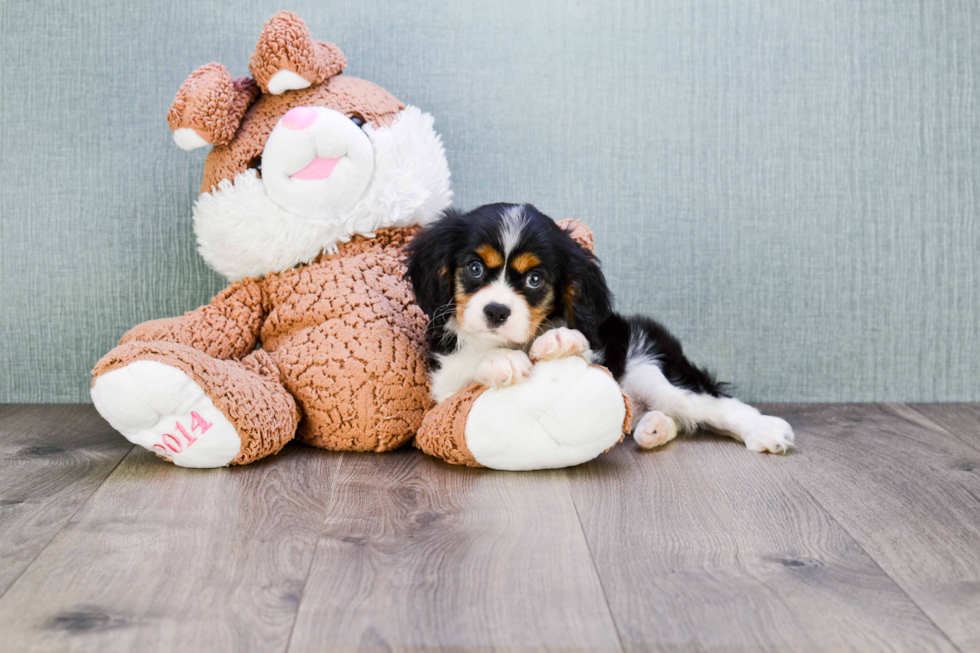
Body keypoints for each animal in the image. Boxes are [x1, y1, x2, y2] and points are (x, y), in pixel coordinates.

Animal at [406, 204, 796, 454]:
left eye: (535, 279)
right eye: (474, 268)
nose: (496, 311)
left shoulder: (599, 353)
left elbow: (576, 343)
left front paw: (558, 337)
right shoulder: (442, 387)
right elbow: (469, 365)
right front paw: (501, 360)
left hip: (652, 372)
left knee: (713, 405)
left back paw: (767, 431)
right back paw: (655, 428)